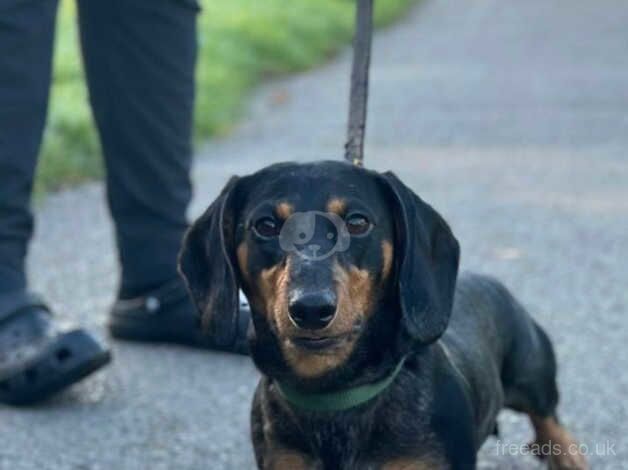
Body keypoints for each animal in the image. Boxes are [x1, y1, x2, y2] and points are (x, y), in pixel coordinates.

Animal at [178, 162, 588, 470]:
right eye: (265, 225)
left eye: (357, 222)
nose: (311, 309)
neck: (335, 396)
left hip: (531, 371)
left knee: (547, 413)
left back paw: (565, 454)